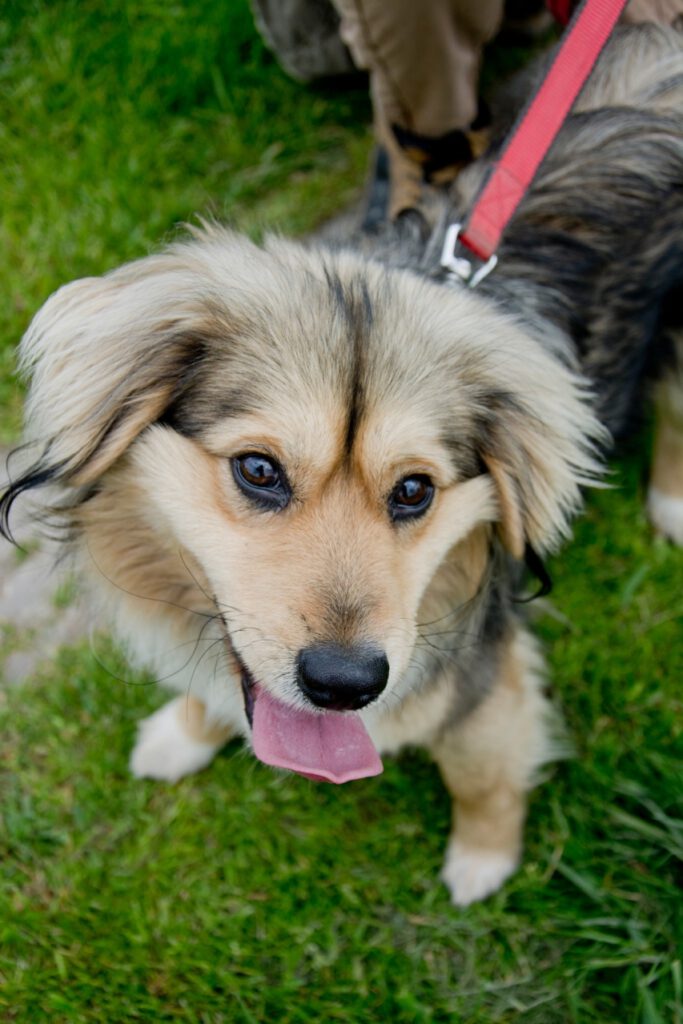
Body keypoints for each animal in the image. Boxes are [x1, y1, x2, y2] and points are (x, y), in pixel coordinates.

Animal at [1, 24, 683, 905]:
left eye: (415, 490)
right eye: (258, 471)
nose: (346, 685)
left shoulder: (480, 676)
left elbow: (481, 772)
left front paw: (483, 859)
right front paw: (183, 734)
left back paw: (670, 500)